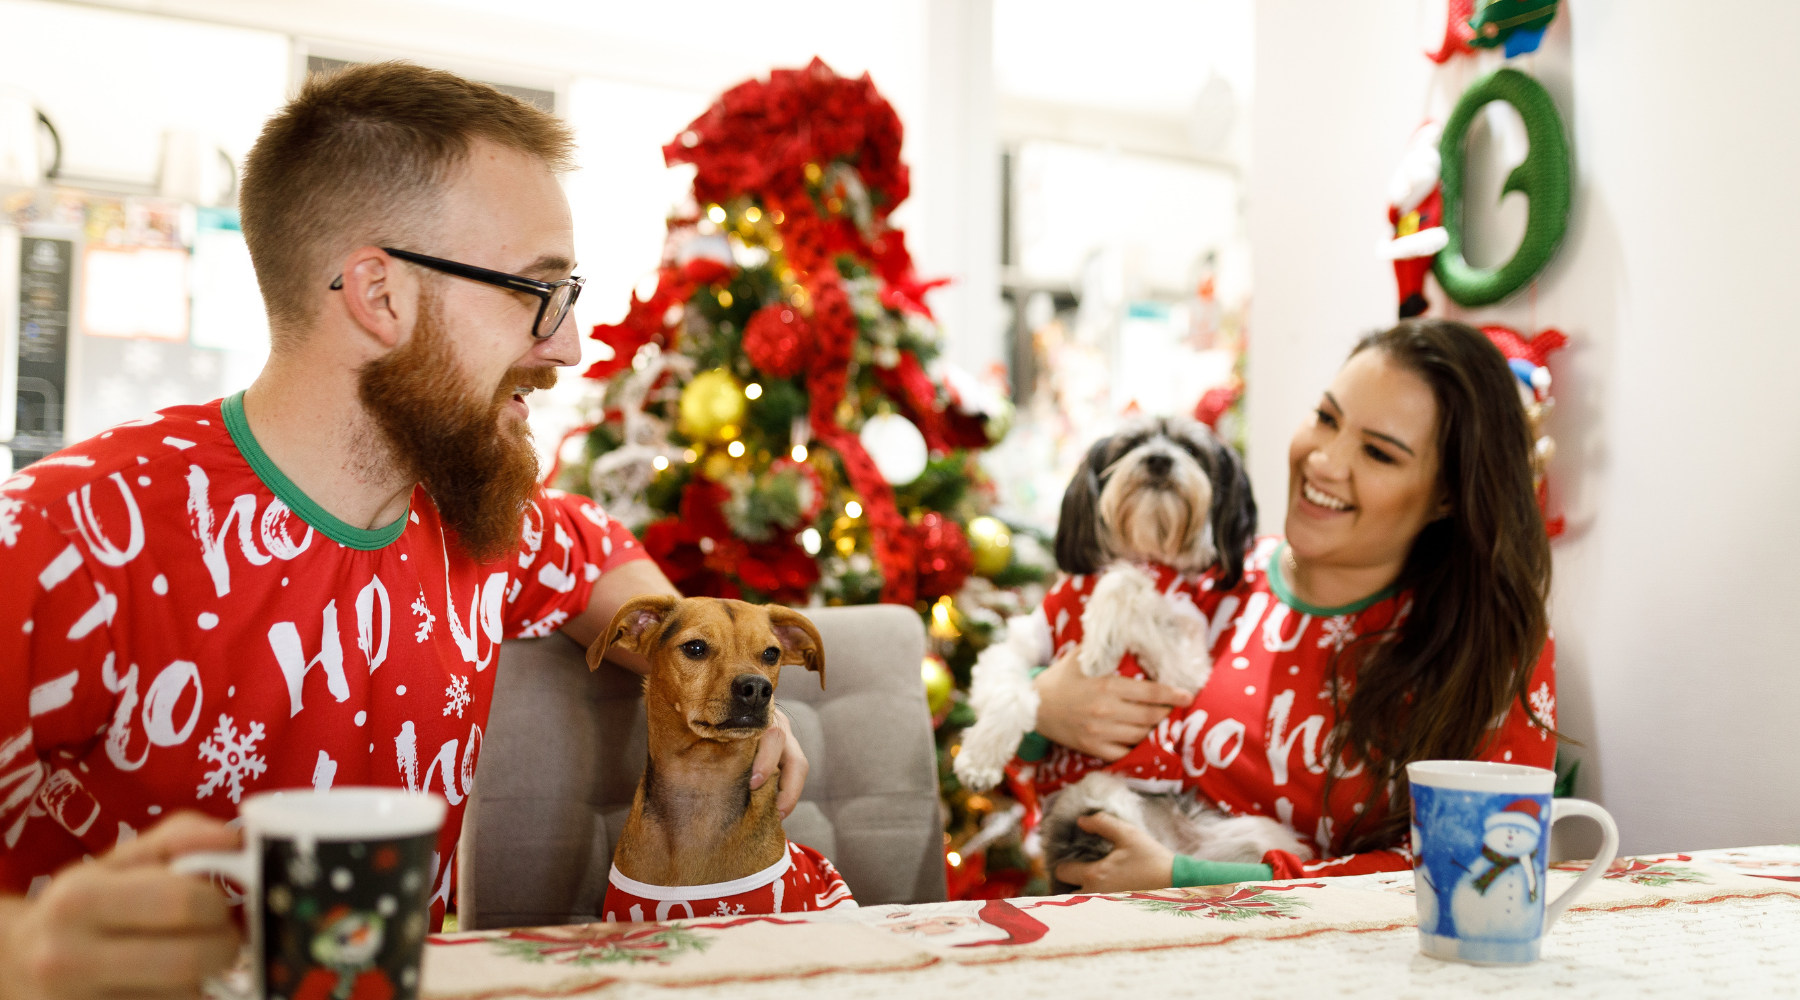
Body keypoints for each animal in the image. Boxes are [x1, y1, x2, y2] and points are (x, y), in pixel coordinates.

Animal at [957, 413, 1310, 892]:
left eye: (1191, 450)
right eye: (1130, 446)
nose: (1159, 460)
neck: (1145, 551)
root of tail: (1178, 841)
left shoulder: (1186, 669)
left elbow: (1125, 582)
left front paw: (1100, 639)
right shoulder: (1020, 645)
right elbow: (1009, 691)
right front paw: (979, 757)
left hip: (1252, 830)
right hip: (1093, 793)